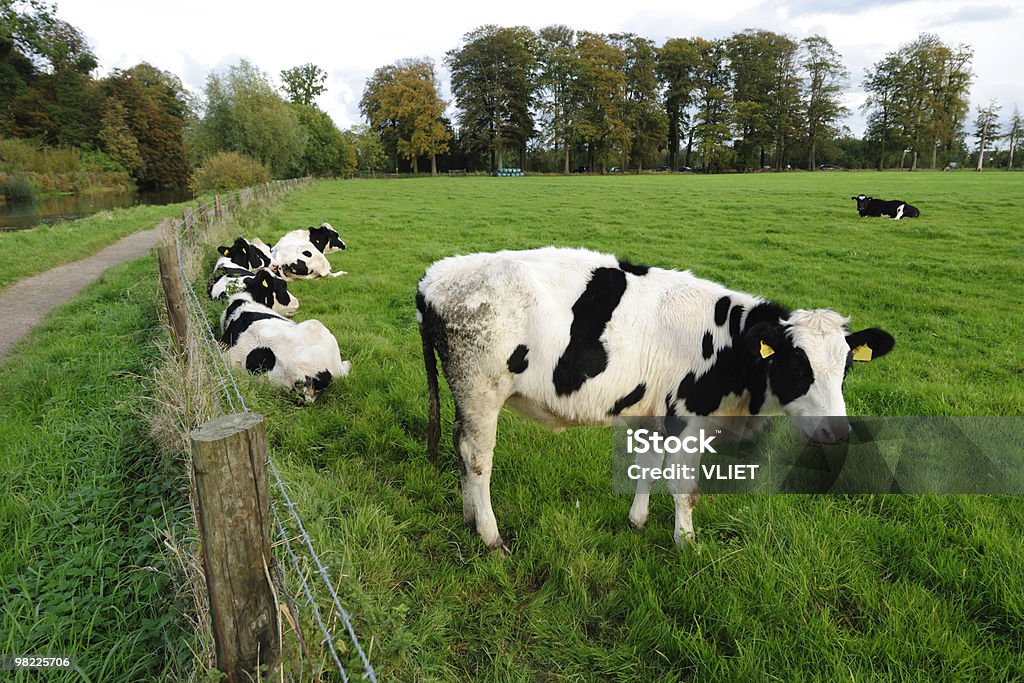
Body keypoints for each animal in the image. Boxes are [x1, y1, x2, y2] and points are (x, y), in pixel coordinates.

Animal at [415, 248, 897, 552]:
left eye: (846, 368)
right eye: (798, 367)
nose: (836, 430)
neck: (728, 344)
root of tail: (437, 276)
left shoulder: (649, 415)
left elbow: (645, 467)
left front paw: (637, 522)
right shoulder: (688, 420)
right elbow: (684, 487)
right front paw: (686, 543)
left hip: (465, 395)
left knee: (460, 450)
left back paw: (468, 519)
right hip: (481, 391)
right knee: (477, 458)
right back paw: (490, 536)